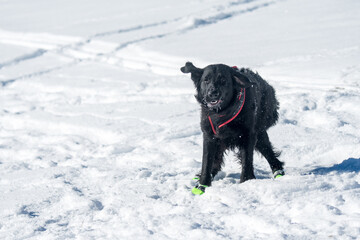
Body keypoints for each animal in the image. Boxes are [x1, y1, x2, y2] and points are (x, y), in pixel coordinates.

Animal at [180, 62, 284, 195]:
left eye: (223, 80)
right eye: (206, 80)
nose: (212, 93)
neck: (222, 112)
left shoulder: (248, 135)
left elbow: (247, 160)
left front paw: (246, 182)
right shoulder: (209, 136)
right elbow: (207, 162)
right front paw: (202, 186)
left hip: (260, 133)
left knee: (270, 154)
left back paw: (279, 173)